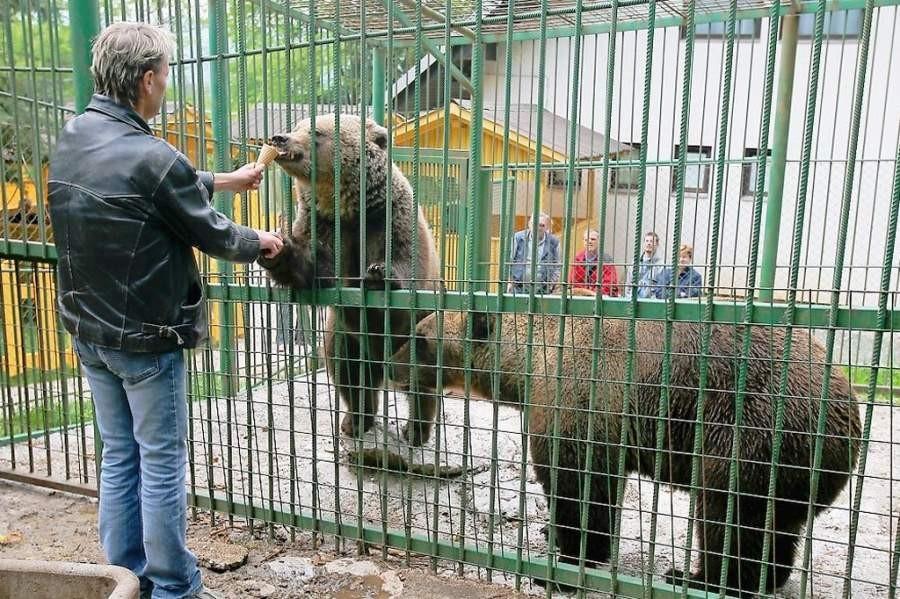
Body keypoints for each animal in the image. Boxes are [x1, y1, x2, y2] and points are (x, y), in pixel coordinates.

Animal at [258, 115, 442, 448]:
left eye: (315, 132)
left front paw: (378, 273)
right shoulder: (326, 227)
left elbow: (405, 259)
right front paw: (278, 248)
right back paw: (355, 421)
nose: (279, 137)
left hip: (416, 334)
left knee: (419, 381)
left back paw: (415, 431)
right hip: (346, 336)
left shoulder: (391, 217)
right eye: (296, 125)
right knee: (349, 373)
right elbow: (316, 267)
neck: (350, 210)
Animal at [390, 312, 860, 596]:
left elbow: (581, 487)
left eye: (419, 338)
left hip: (752, 434)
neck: (525, 365)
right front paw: (552, 534)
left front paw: (566, 562)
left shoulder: (582, 402)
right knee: (774, 527)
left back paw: (697, 576)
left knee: (725, 513)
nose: (390, 364)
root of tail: (850, 414)